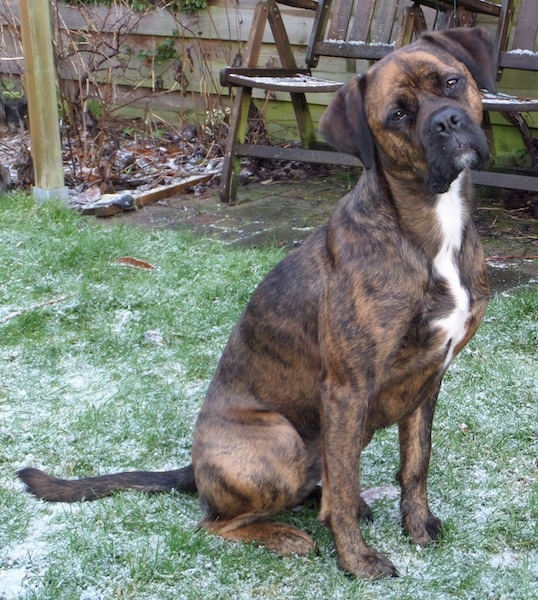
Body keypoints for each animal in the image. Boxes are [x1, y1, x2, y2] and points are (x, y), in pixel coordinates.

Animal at [18, 27, 492, 576]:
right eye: (397, 114)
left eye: (451, 82)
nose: (447, 121)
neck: (428, 229)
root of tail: (195, 466)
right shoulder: (347, 389)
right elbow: (346, 485)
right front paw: (356, 561)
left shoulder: (427, 378)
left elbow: (415, 464)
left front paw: (417, 526)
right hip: (281, 438)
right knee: (219, 521)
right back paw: (286, 535)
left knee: (321, 484)